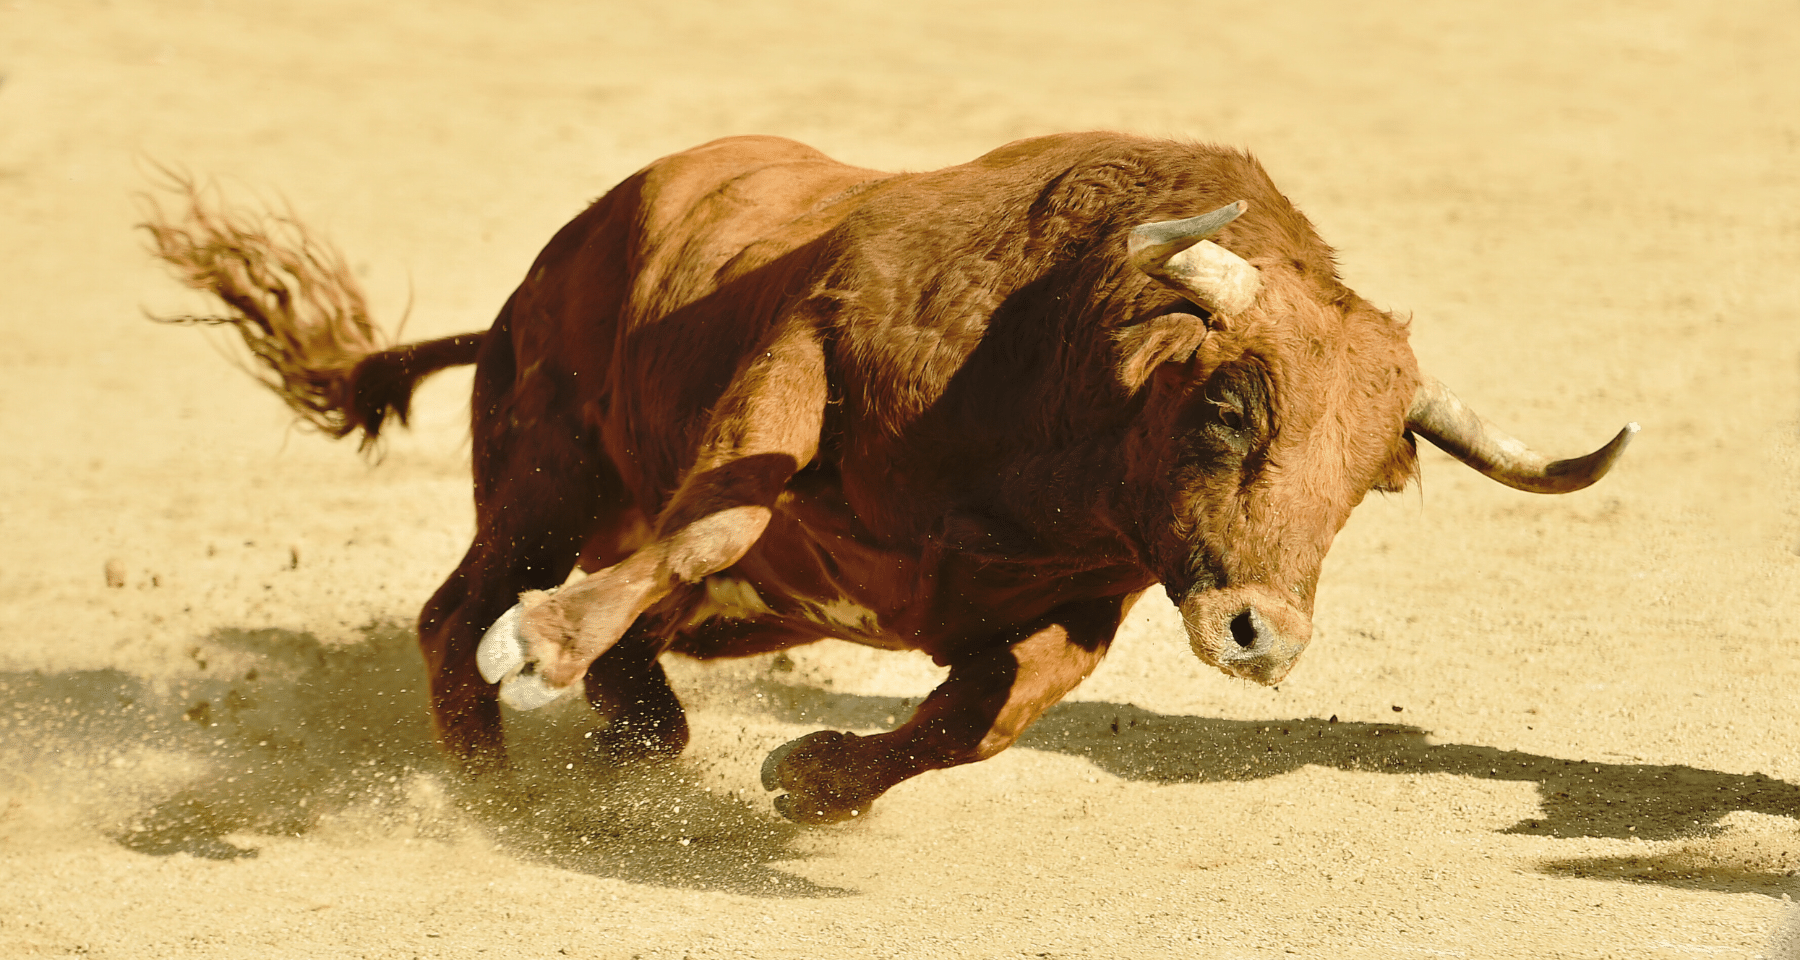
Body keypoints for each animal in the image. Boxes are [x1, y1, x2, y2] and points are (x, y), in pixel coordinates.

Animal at [144, 133, 1635, 823]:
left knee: (645, 676)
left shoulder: (1081, 596)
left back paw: (626, 740)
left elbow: (994, 714)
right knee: (458, 614)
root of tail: (542, 274)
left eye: (1371, 483)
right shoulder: (807, 346)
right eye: (1226, 409)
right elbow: (725, 512)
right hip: (545, 470)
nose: (1263, 636)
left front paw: (814, 778)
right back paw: (491, 769)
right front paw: (548, 643)